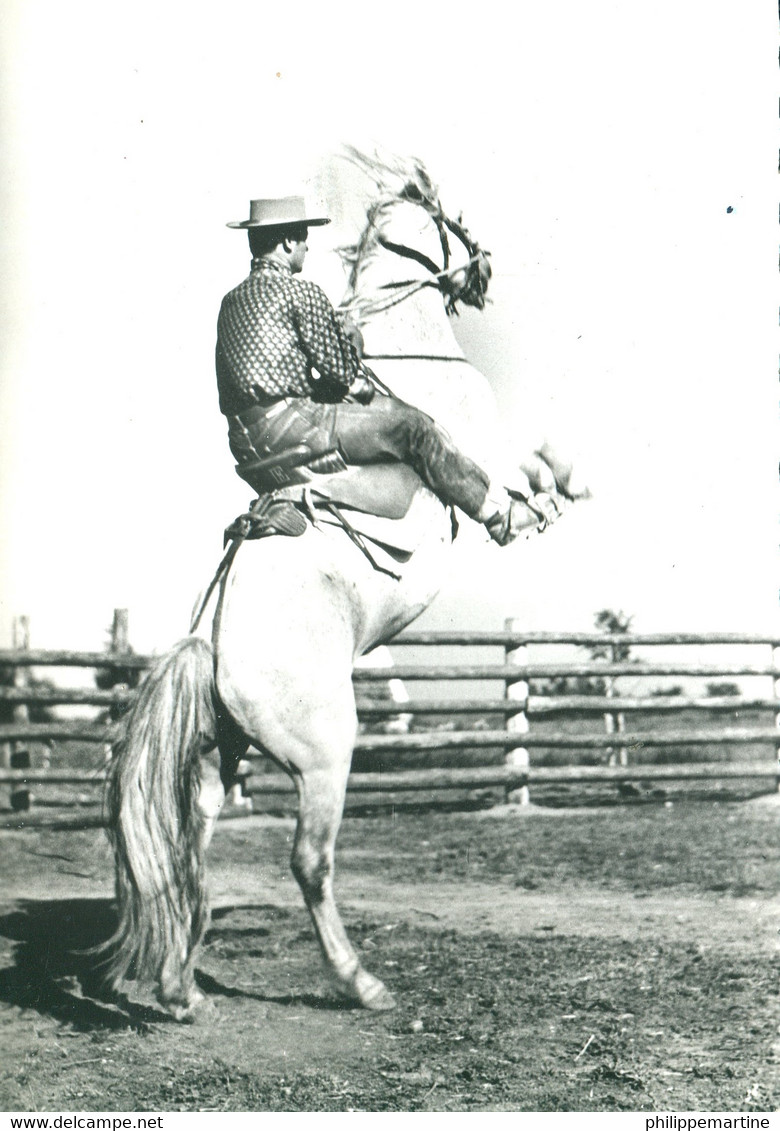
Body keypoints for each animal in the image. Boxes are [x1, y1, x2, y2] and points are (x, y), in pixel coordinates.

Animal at [101, 148, 576, 1017]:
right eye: (453, 217)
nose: (484, 272)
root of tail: (209, 641)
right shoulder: (479, 442)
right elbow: (516, 470)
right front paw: (541, 503)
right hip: (325, 752)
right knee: (309, 860)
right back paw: (360, 981)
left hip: (222, 757)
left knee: (193, 849)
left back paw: (182, 986)